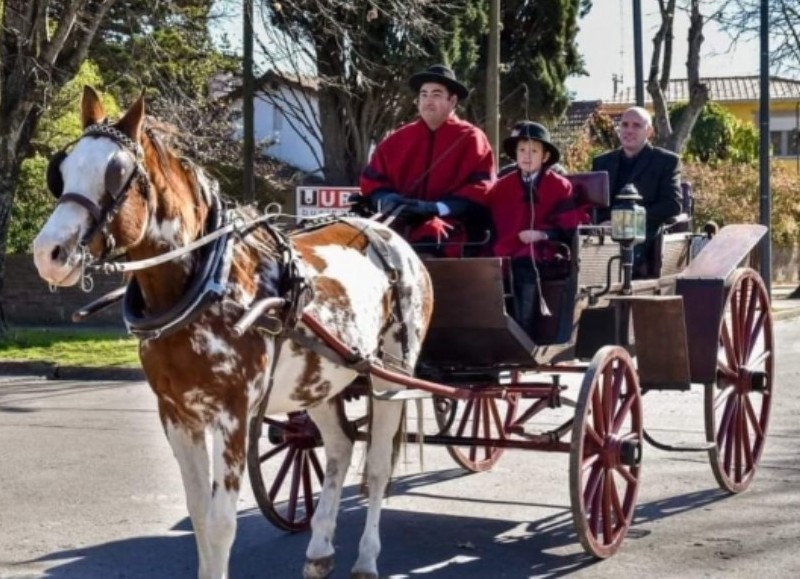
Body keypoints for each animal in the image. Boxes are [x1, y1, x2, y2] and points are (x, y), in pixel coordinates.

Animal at [31, 86, 434, 579]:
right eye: (62, 170)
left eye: (116, 173)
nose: (48, 253)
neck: (208, 281)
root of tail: (388, 233)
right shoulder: (176, 413)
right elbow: (200, 514)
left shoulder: (234, 414)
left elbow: (222, 523)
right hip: (322, 380)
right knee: (339, 446)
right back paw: (320, 549)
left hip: (390, 376)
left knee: (377, 467)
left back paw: (366, 559)